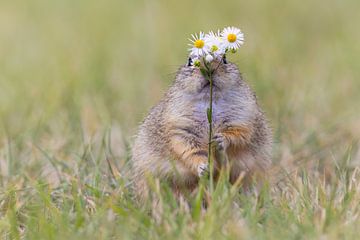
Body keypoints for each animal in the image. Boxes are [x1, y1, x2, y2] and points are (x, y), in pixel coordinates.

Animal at [131, 57, 272, 202]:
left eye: (225, 59)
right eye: (190, 61)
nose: (209, 68)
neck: (210, 102)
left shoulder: (242, 116)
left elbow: (241, 134)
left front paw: (221, 140)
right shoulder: (180, 126)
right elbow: (188, 149)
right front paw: (203, 167)